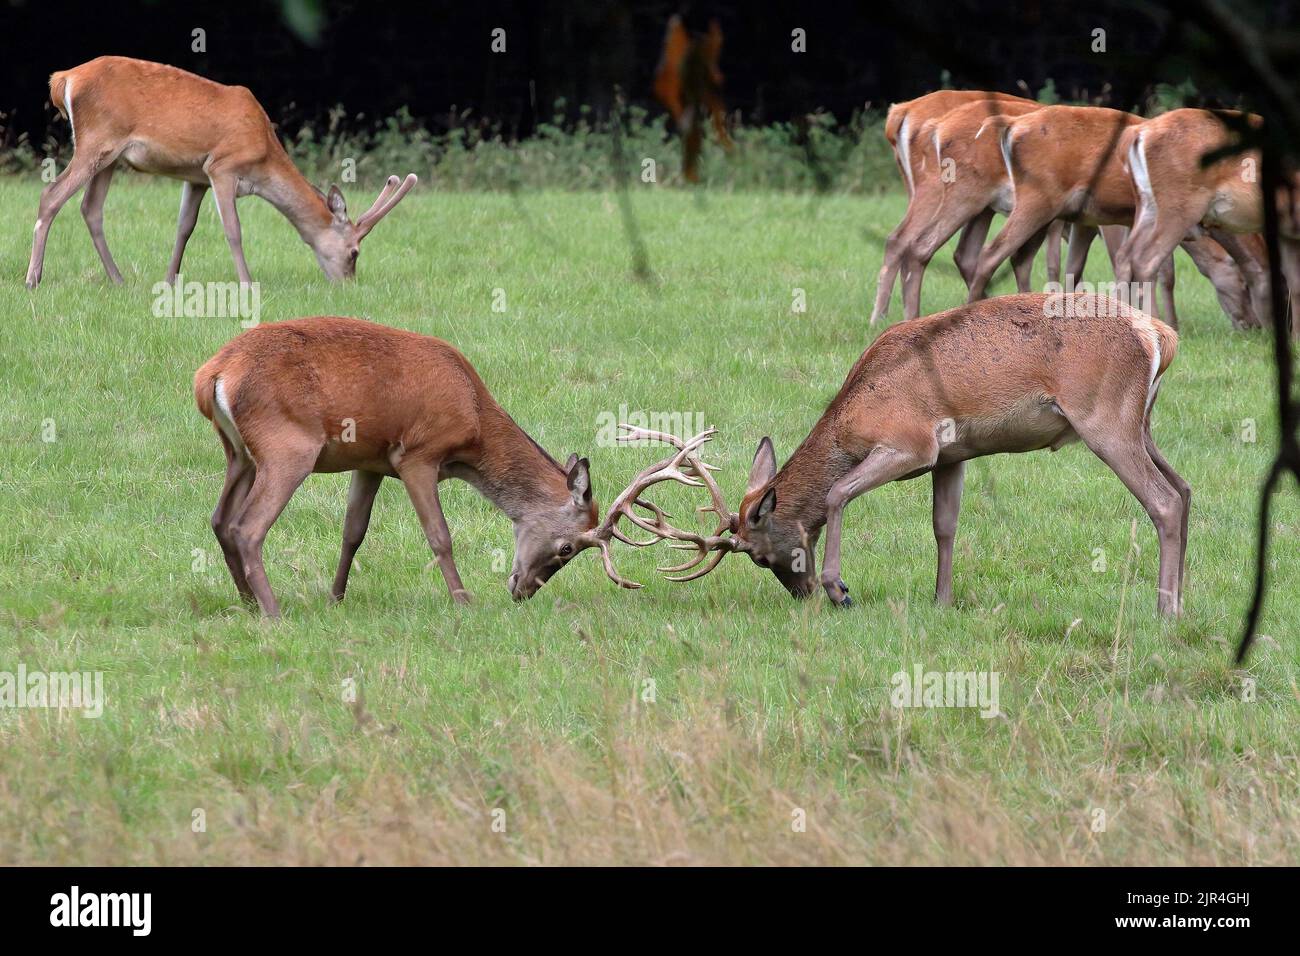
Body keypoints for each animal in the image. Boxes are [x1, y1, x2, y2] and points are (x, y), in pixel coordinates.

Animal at [25, 56, 417, 289]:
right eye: (354, 253)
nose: (348, 285)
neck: (264, 157)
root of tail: (64, 78)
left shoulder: (196, 176)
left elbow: (184, 228)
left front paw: (169, 281)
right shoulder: (222, 167)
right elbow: (234, 230)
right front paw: (247, 282)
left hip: (110, 156)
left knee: (90, 208)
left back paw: (119, 279)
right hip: (97, 140)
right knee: (50, 195)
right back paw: (33, 278)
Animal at [193, 316, 719, 615]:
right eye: (568, 548)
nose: (523, 591)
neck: (474, 425)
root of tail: (212, 374)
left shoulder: (370, 460)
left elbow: (353, 532)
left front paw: (336, 598)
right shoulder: (416, 453)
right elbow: (439, 535)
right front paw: (463, 599)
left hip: (238, 452)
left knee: (219, 519)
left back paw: (245, 602)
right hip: (289, 446)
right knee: (247, 526)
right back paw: (273, 611)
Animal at [616, 294, 1190, 617]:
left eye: (757, 553)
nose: (801, 592)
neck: (851, 418)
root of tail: (1160, 335)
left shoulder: (913, 443)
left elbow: (838, 492)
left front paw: (841, 590)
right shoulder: (952, 454)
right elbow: (945, 525)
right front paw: (942, 602)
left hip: (1104, 420)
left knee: (1162, 501)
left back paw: (1164, 610)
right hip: (1141, 423)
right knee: (1184, 490)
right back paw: (1182, 597)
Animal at [1115, 108, 1288, 332]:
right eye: (1242, 284)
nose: (1255, 328)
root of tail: (1139, 132)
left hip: (1147, 205)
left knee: (1124, 256)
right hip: (1178, 206)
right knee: (1145, 260)